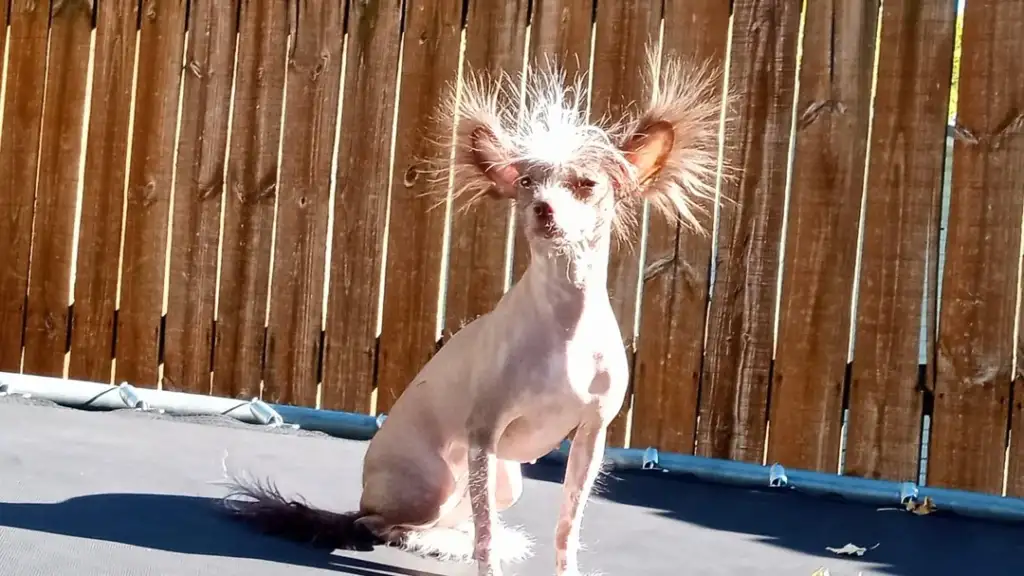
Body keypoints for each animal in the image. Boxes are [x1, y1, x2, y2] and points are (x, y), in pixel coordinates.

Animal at [221, 50, 724, 573]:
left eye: (586, 184)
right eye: (526, 182)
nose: (543, 208)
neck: (566, 321)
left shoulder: (590, 436)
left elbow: (567, 524)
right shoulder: (485, 435)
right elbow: (485, 530)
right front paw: (488, 562)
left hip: (507, 481)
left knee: (458, 515)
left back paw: (449, 539)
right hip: (432, 484)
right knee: (378, 522)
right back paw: (410, 535)